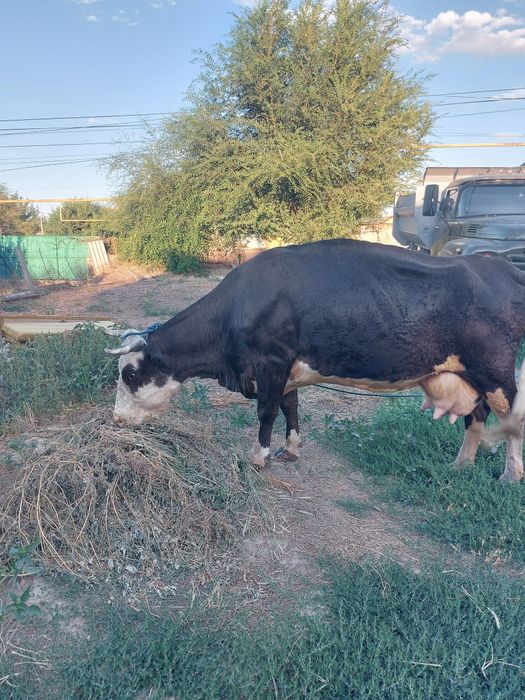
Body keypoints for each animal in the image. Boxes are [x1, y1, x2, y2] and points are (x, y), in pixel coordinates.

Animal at [105, 239, 525, 483]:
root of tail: (499, 266)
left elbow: (266, 412)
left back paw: (509, 476)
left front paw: (257, 457)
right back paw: (461, 465)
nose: (117, 420)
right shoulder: (287, 369)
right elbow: (290, 407)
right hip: (469, 374)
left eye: (130, 374)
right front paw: (290, 449)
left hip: (498, 371)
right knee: (477, 416)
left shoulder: (272, 362)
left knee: (512, 421)